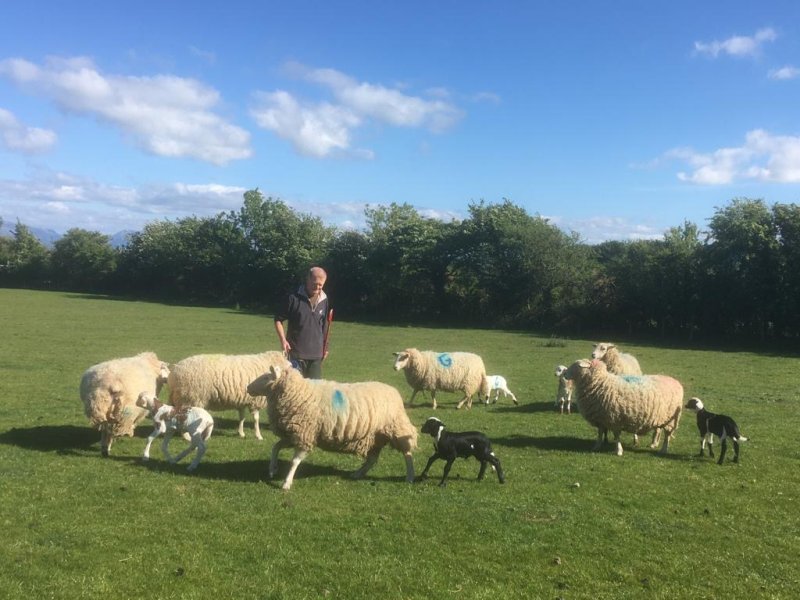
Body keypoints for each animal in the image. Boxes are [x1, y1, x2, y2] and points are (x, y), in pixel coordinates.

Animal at [247, 364, 416, 490]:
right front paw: (272, 469)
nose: (247, 388)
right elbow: (275, 448)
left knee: (407, 454)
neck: (299, 393)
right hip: (376, 437)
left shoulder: (305, 435)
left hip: (397, 430)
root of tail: (394, 391)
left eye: (266, 377)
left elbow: (295, 461)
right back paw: (357, 474)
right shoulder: (294, 433)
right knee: (372, 460)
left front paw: (286, 483)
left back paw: (410, 476)